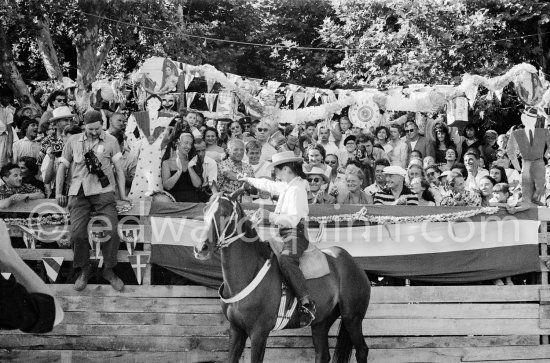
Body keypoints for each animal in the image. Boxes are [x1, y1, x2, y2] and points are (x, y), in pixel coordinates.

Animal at [194, 191, 370, 363]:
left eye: (224, 213)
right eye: (205, 209)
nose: (201, 248)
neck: (249, 273)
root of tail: (353, 263)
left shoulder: (259, 332)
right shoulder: (236, 330)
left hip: (352, 318)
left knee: (362, 350)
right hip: (321, 322)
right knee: (323, 354)